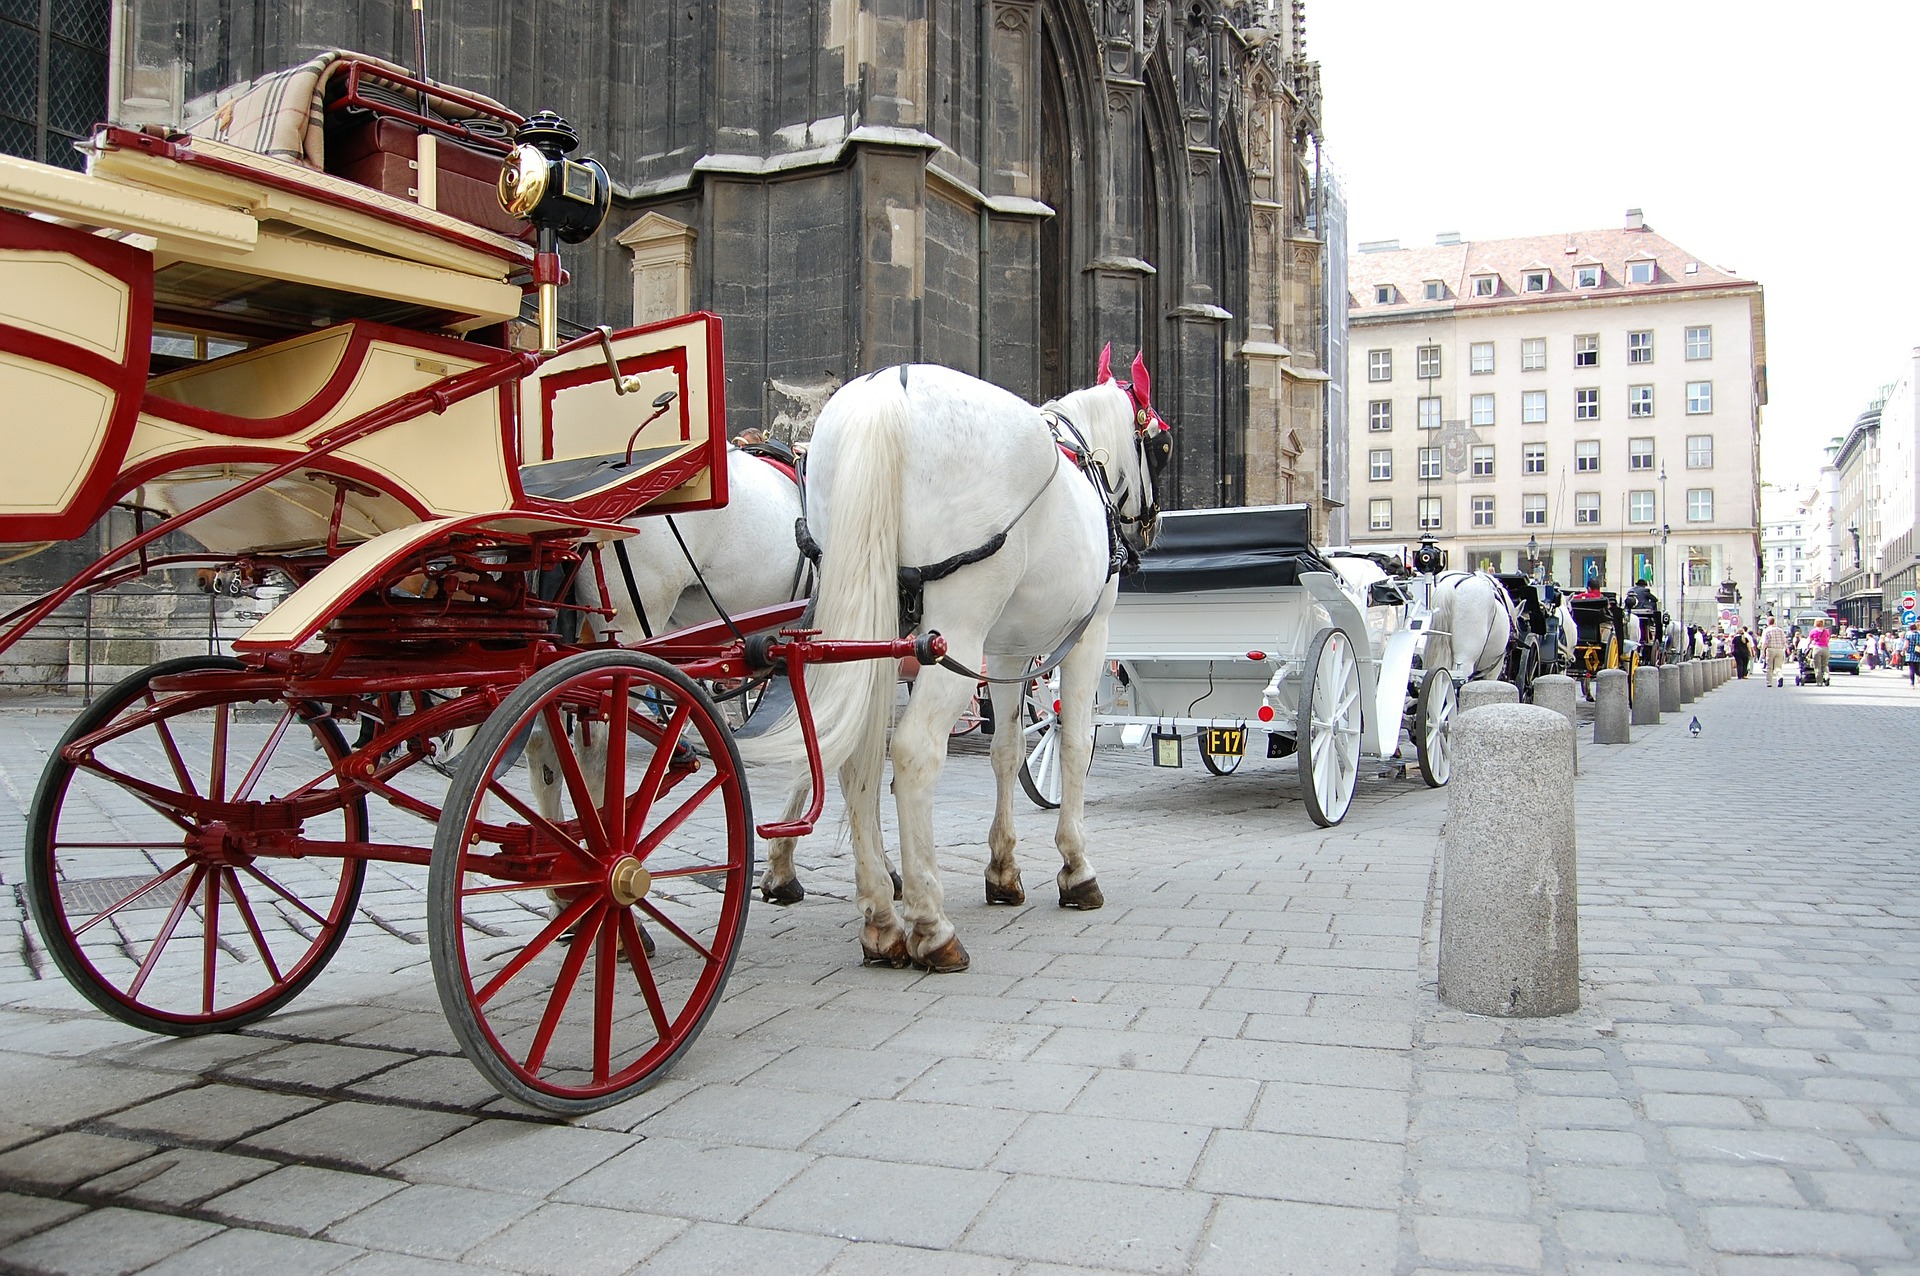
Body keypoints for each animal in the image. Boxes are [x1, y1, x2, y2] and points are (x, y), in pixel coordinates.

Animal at [744, 349, 1167, 967]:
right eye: (1161, 444)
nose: (1153, 525)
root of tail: (885, 395)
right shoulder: (1088, 636)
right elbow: (1072, 744)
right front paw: (1076, 868)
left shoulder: (1010, 650)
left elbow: (1007, 750)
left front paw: (1003, 870)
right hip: (955, 634)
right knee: (912, 751)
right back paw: (930, 924)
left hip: (867, 625)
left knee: (849, 751)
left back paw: (880, 917)